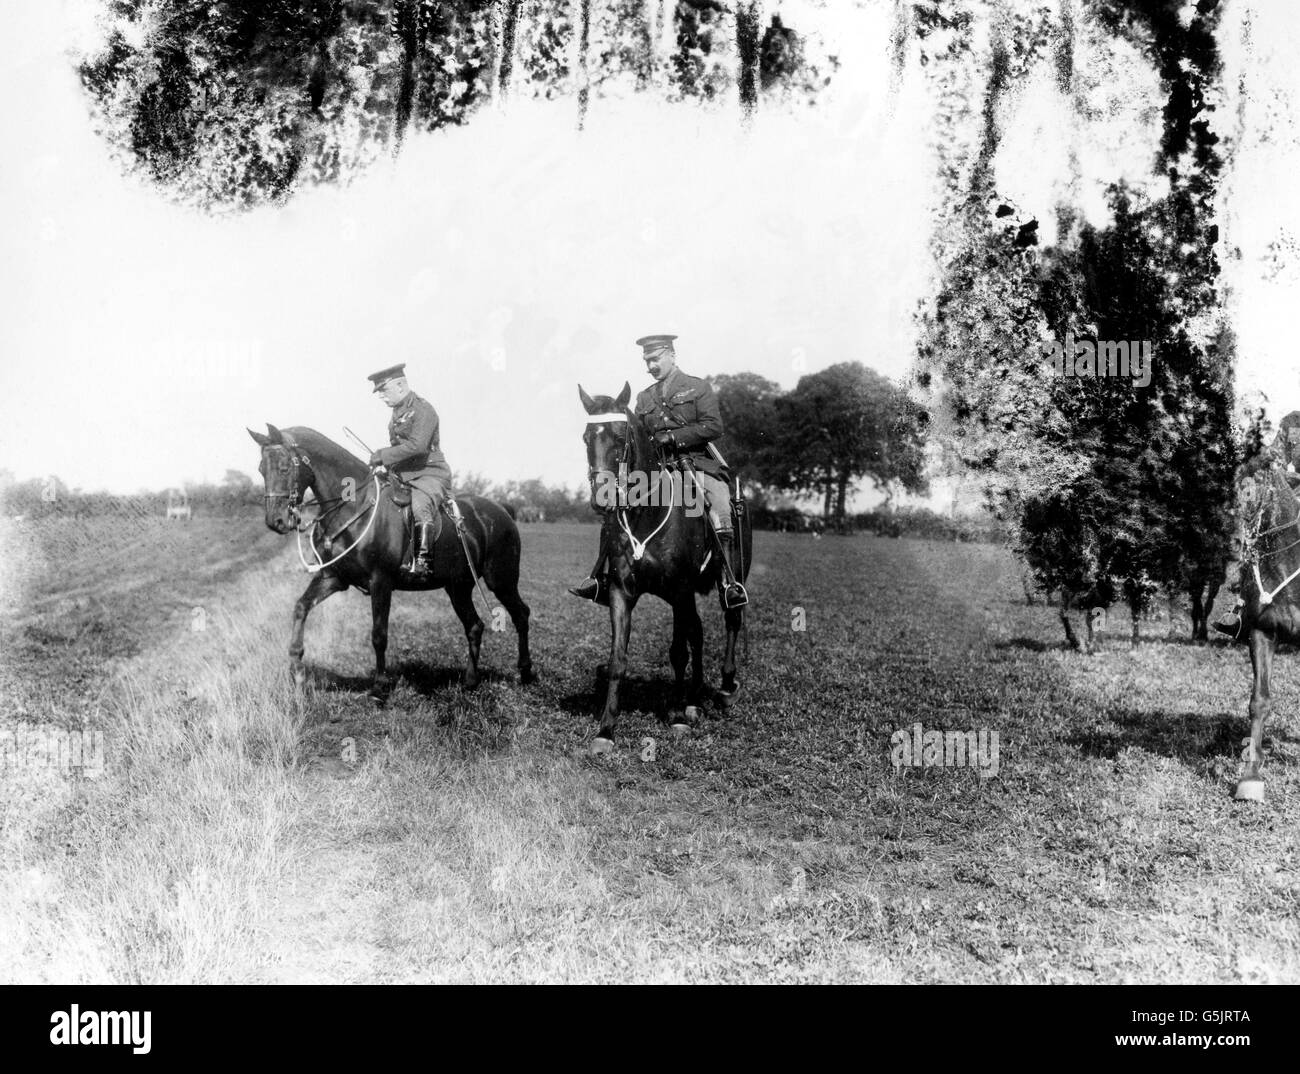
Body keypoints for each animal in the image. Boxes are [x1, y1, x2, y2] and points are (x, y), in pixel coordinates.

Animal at [248, 423, 533, 696]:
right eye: (261, 469)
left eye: (285, 467)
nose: (275, 521)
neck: (353, 507)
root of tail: (502, 510)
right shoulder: (333, 578)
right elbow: (301, 607)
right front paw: (296, 669)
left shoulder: (380, 582)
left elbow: (379, 634)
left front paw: (380, 687)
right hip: (458, 587)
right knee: (474, 626)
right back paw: (471, 681)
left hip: (501, 580)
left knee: (521, 614)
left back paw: (526, 673)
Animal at [579, 379, 754, 748]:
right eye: (587, 437)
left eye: (620, 436)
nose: (602, 498)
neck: (648, 513)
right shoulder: (621, 592)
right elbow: (618, 658)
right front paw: (606, 729)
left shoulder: (679, 590)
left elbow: (678, 652)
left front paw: (675, 717)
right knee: (698, 632)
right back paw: (693, 699)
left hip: (731, 577)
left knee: (731, 619)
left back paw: (724, 688)